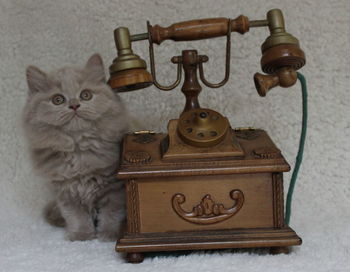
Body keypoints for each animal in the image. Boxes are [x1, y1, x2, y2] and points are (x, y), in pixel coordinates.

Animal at [23, 54, 130, 241]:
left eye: (86, 95)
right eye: (58, 100)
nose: (74, 105)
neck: (79, 150)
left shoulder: (114, 187)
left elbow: (112, 213)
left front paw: (109, 234)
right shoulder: (66, 191)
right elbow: (76, 216)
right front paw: (81, 236)